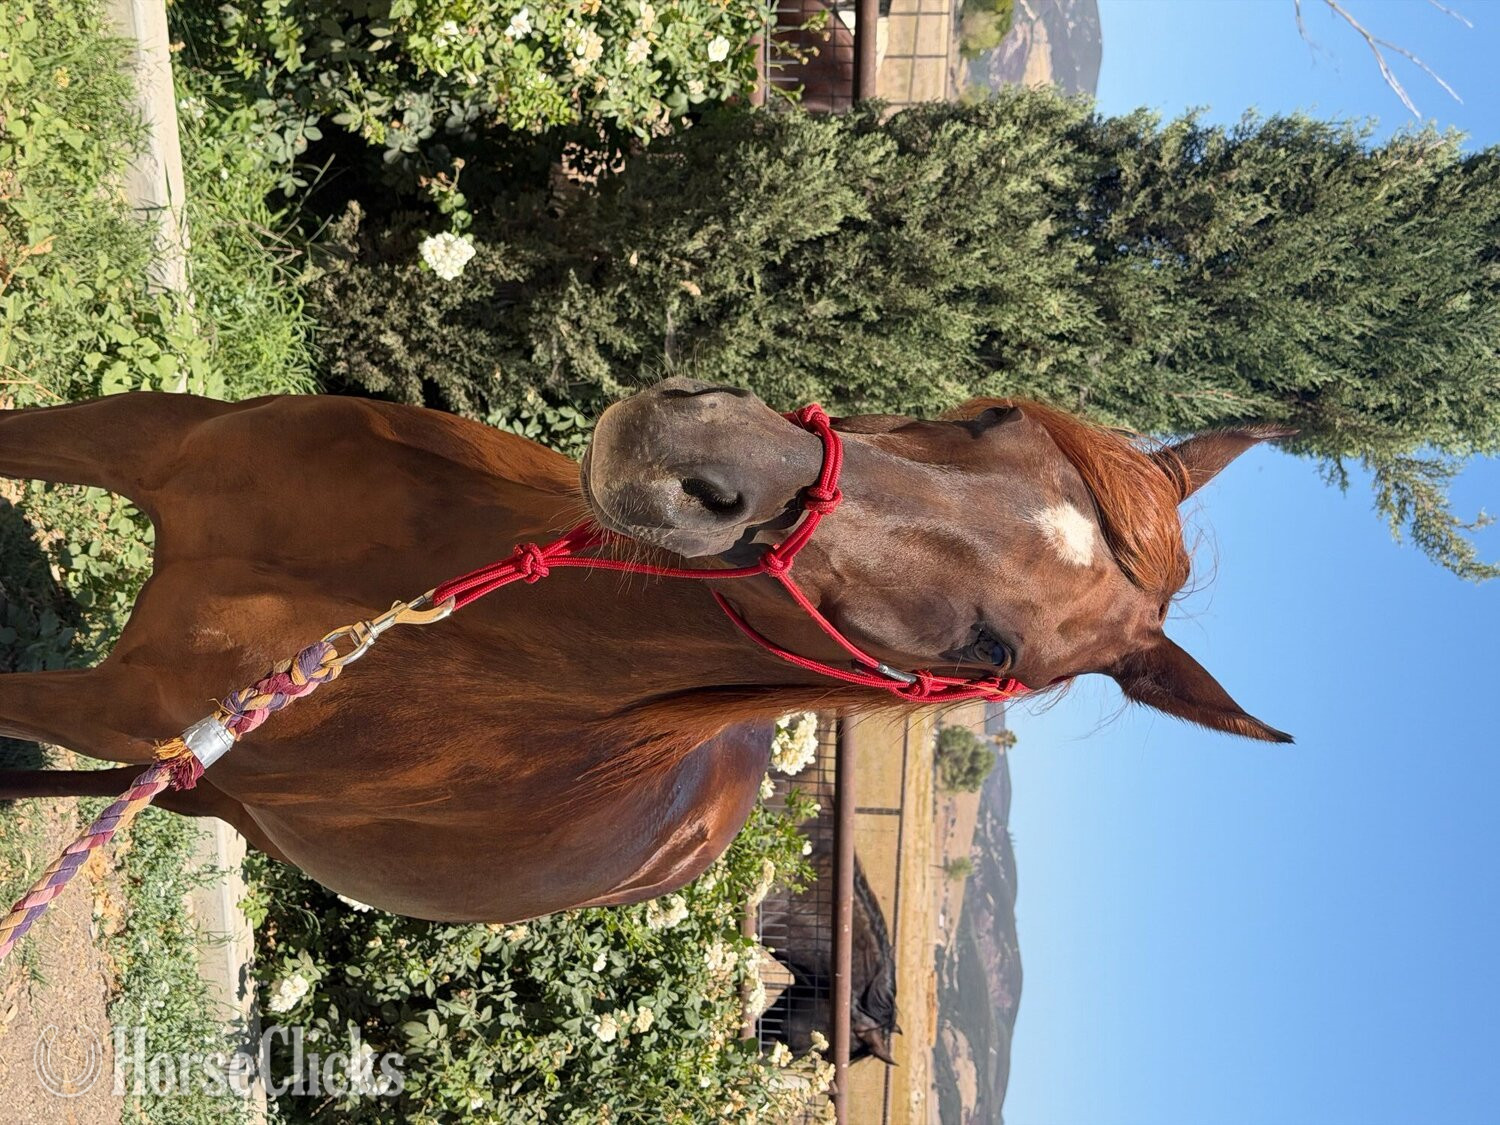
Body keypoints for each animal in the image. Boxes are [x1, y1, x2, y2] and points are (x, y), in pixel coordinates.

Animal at [0, 378, 1291, 922]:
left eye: (994, 655)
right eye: (995, 416)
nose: (707, 459)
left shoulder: (126, 708)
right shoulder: (134, 437)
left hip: (211, 783)